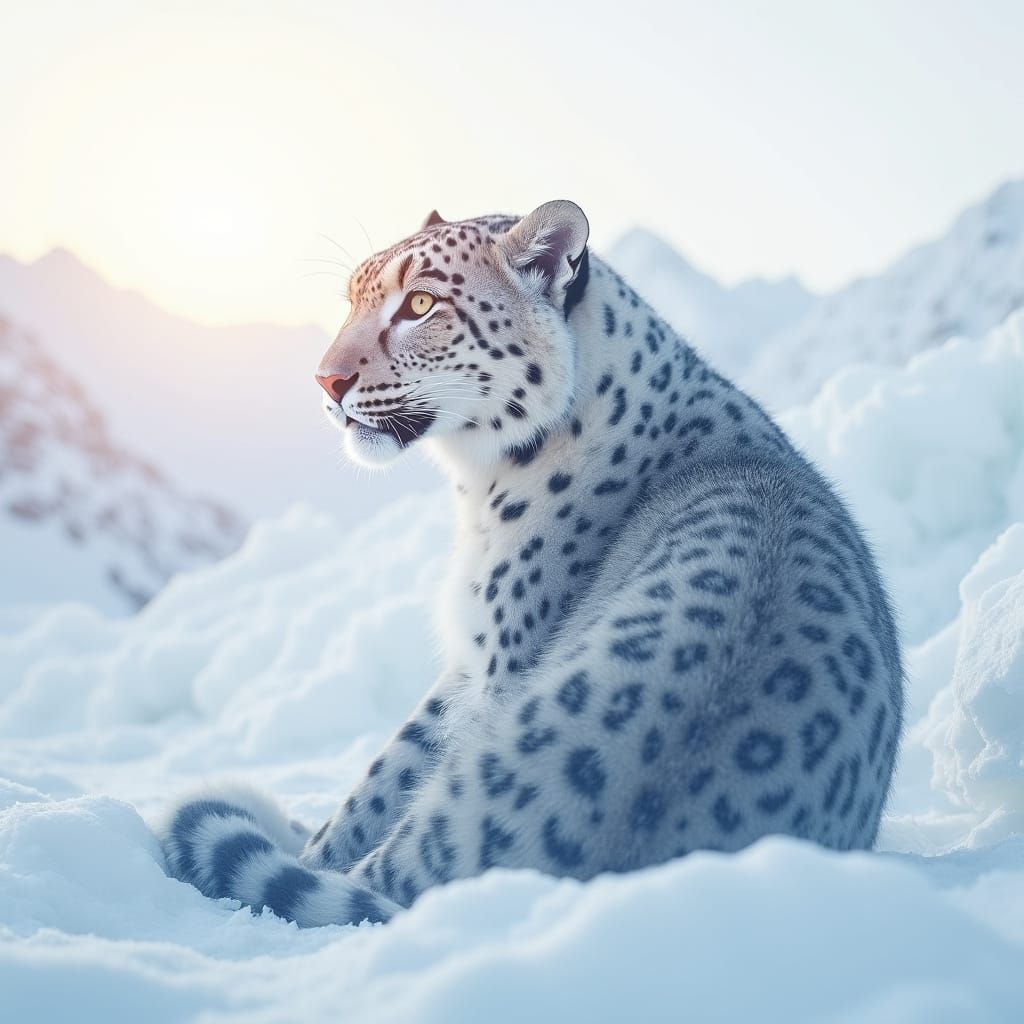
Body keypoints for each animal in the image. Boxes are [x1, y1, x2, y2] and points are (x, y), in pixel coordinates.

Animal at [158, 201, 903, 926]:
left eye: (421, 304)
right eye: (352, 298)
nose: (326, 379)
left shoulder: (483, 661)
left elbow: (379, 781)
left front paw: (309, 849)